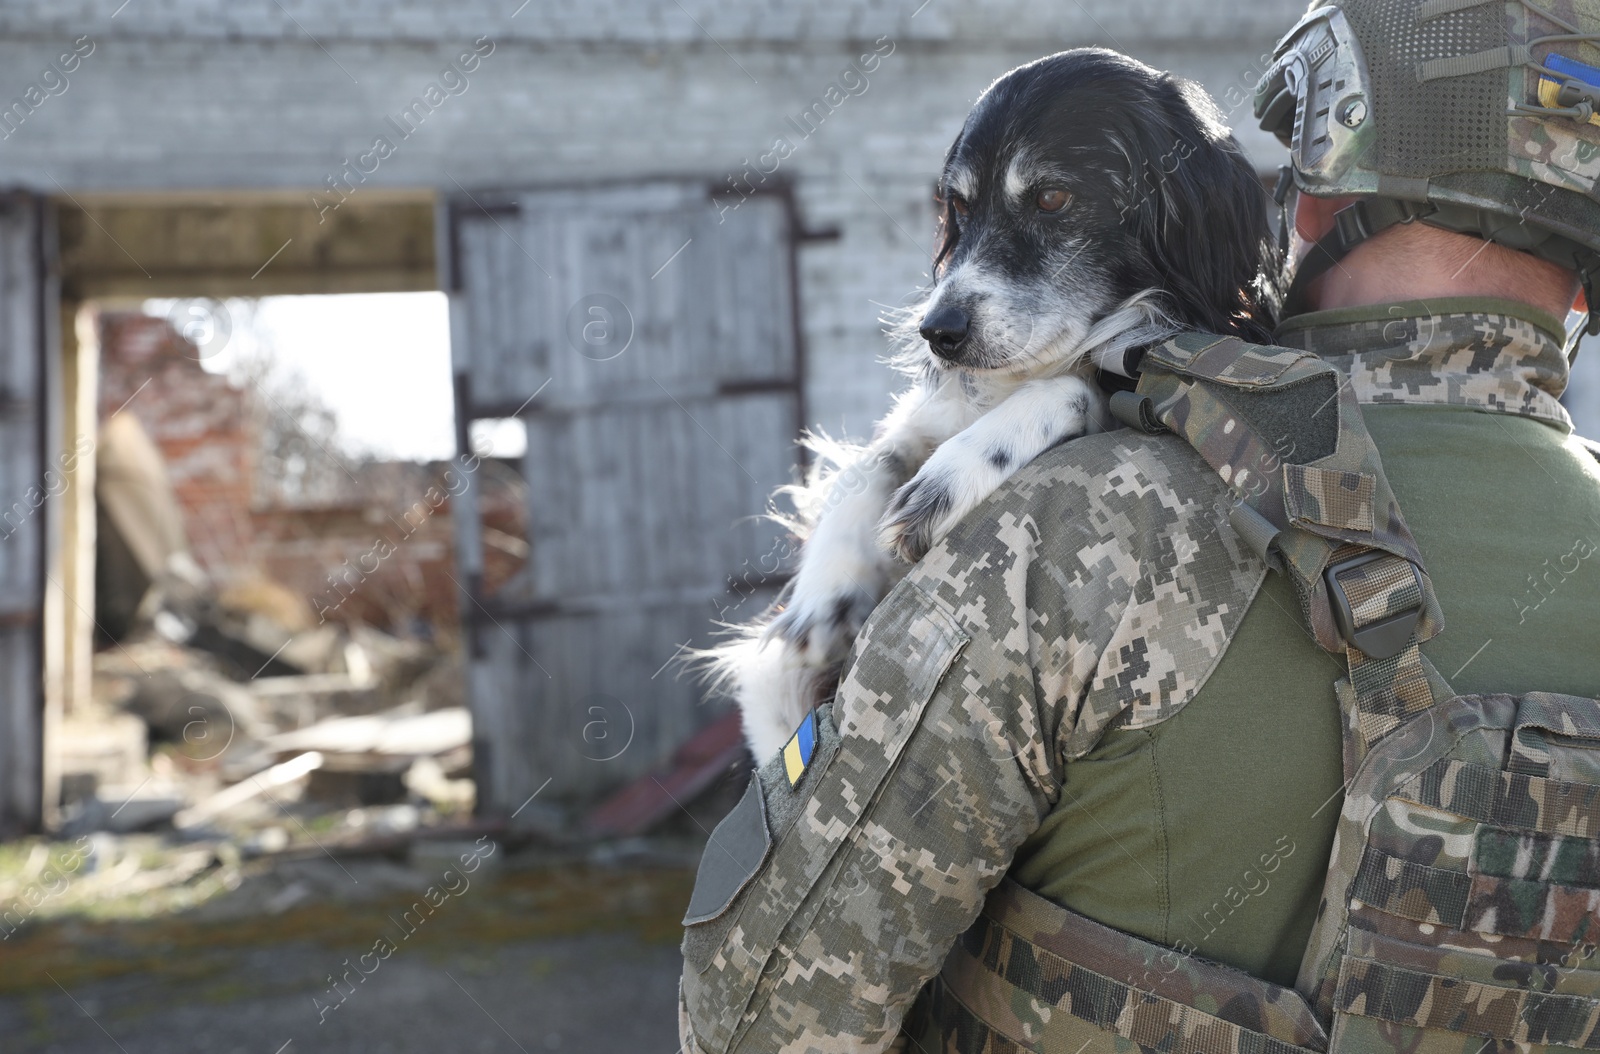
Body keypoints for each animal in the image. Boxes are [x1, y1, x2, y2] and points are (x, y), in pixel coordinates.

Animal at [707, 49, 1280, 761]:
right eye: (956, 205)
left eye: (1052, 197)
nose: (936, 331)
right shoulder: (933, 410)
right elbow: (870, 460)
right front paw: (824, 594)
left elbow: (1073, 388)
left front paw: (952, 478)